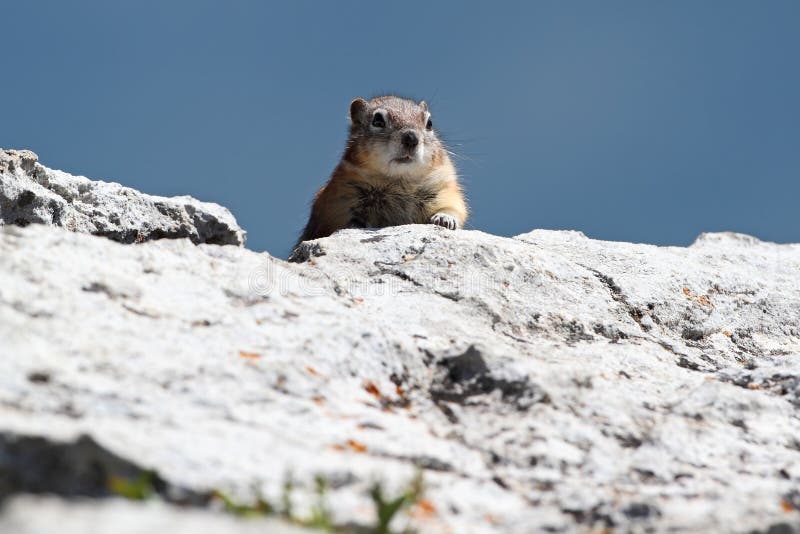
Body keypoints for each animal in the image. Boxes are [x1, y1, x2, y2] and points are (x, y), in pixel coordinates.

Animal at [296, 96, 466, 247]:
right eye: (377, 121)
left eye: (429, 123)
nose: (411, 138)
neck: (399, 179)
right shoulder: (340, 198)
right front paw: (353, 225)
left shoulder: (444, 188)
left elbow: (455, 208)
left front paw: (445, 219)